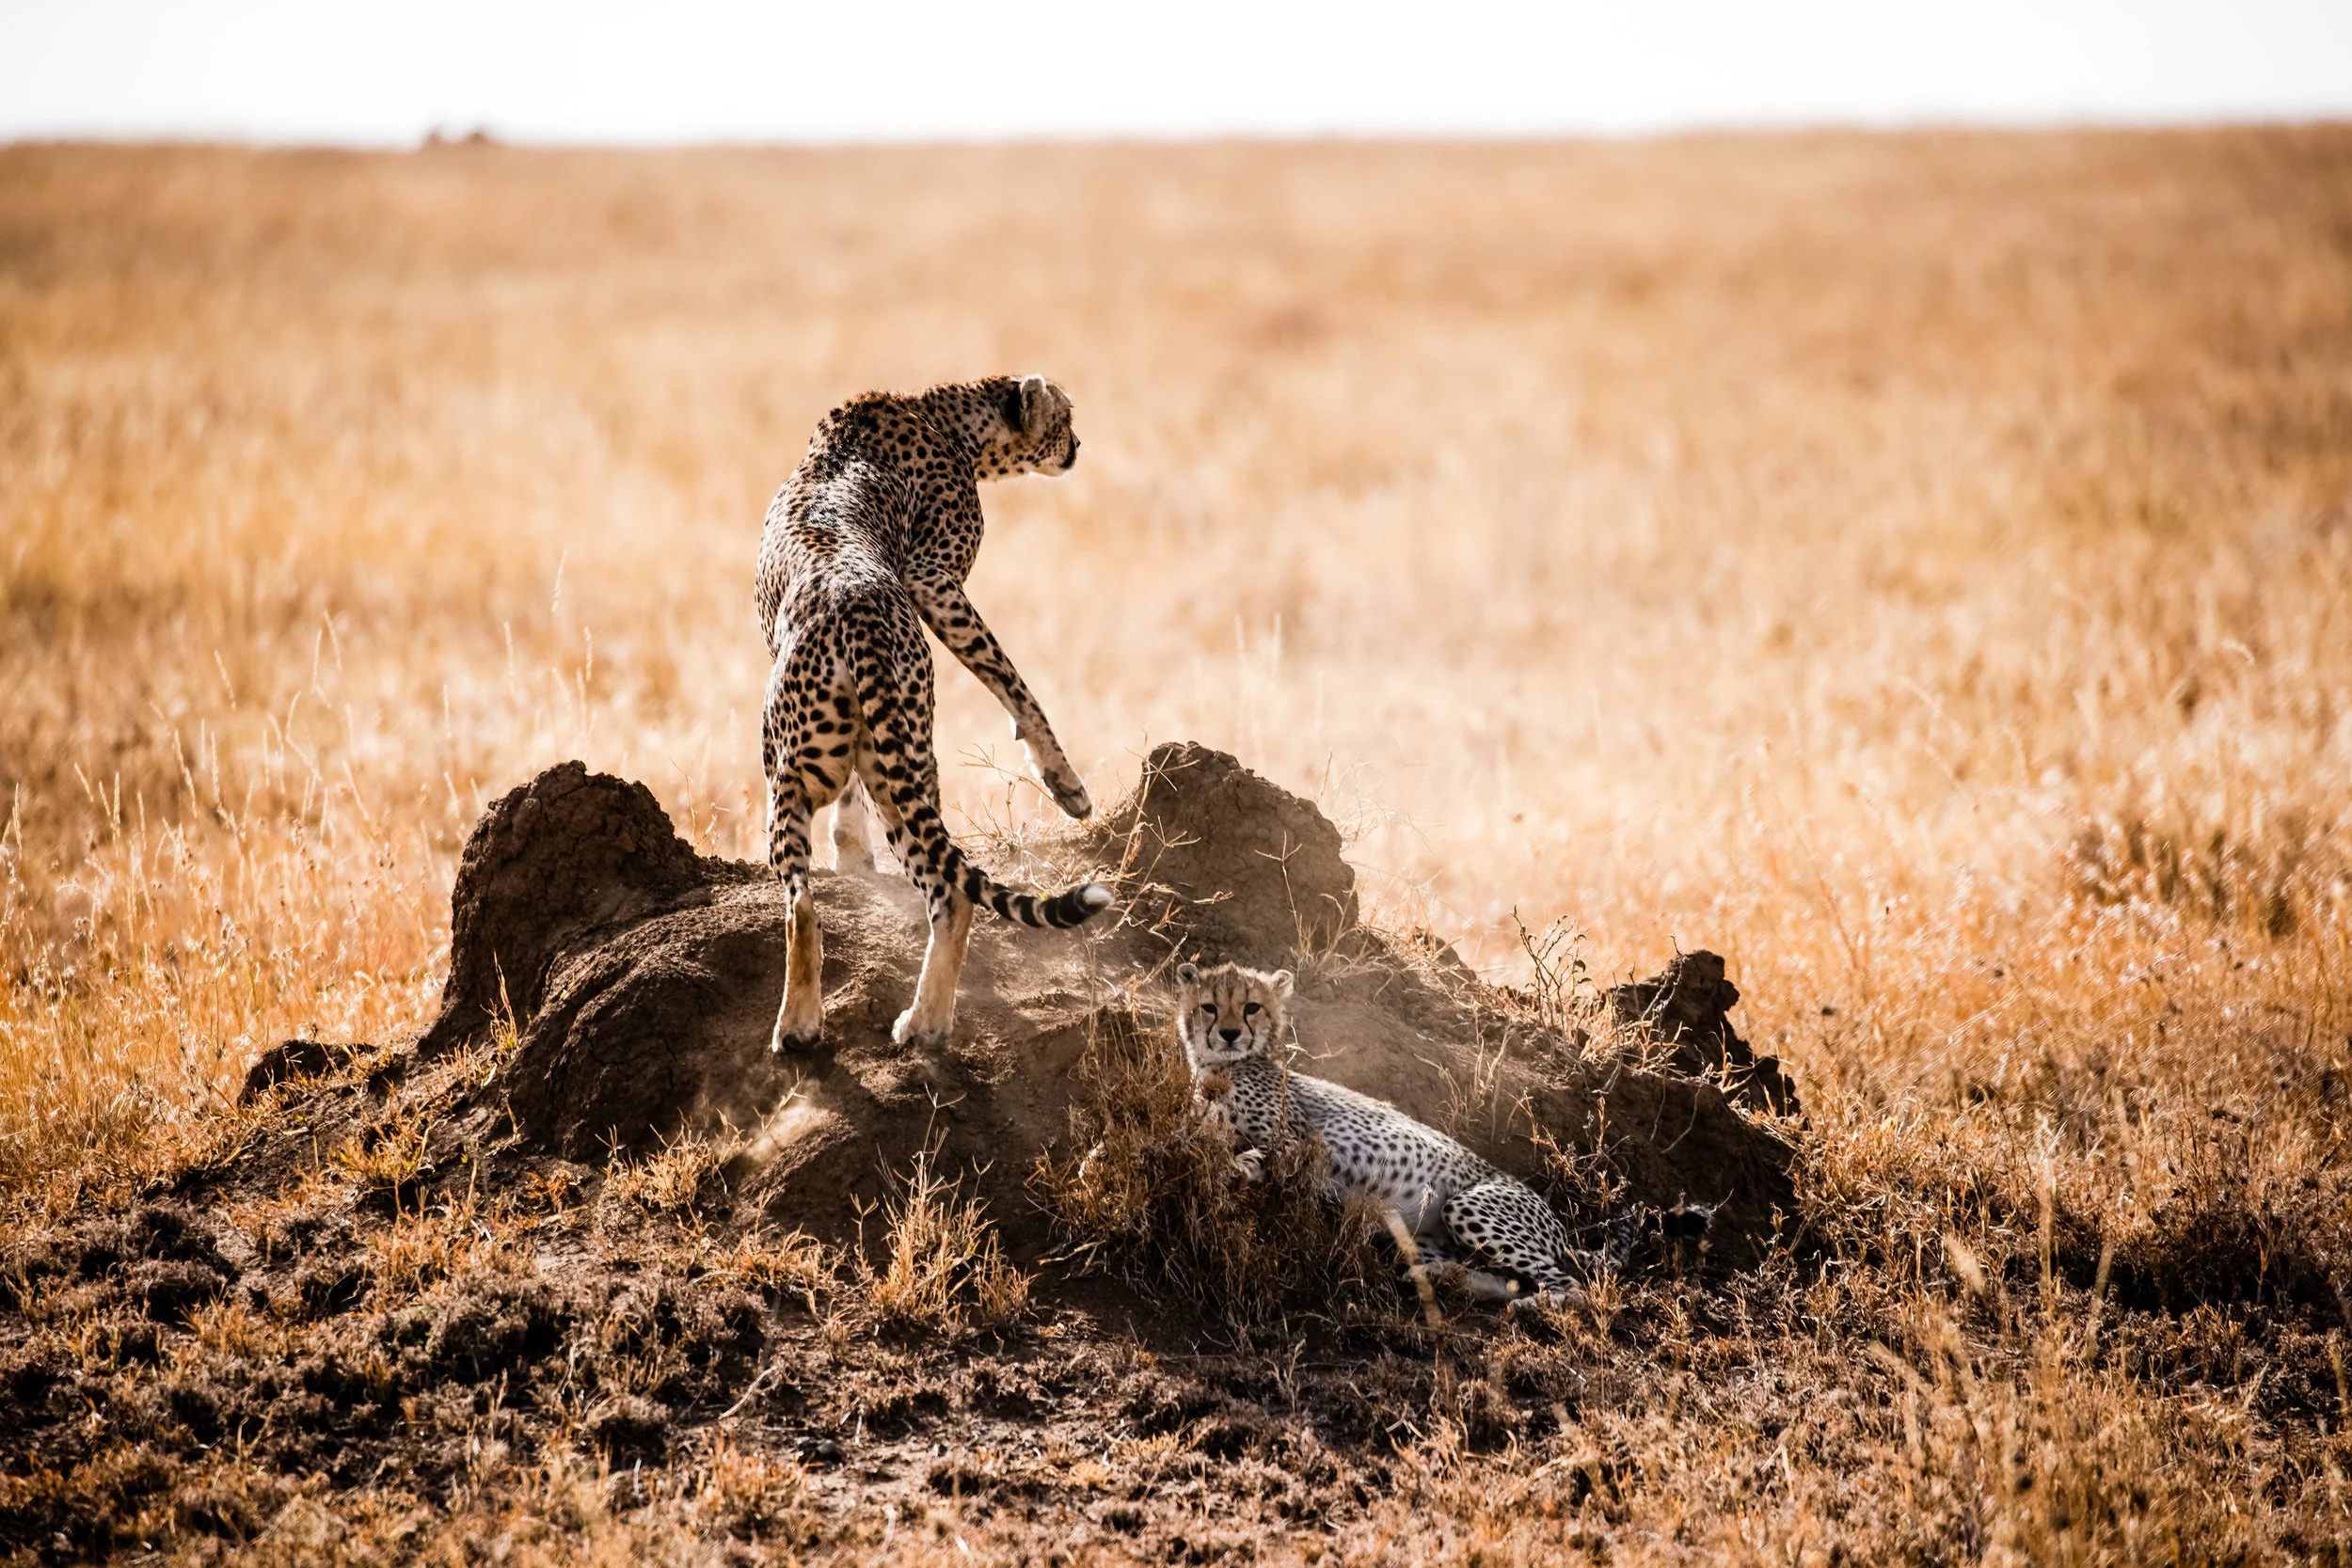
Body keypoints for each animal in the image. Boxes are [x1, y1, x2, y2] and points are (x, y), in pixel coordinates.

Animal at [755, 375, 1112, 1054]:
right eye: (1066, 416)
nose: (1078, 445)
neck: (945, 417)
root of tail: (855, 601)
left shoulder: (929, 579)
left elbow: (1011, 682)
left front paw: (1066, 784)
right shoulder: (932, 582)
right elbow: (1013, 682)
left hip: (808, 766)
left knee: (832, 901)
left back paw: (829, 1023)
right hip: (879, 761)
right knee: (928, 886)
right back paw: (907, 1022)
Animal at [1175, 960, 1630, 1307]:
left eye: (1251, 1007)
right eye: (1209, 1007)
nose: (1230, 1034)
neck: (1220, 1068)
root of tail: (1560, 1226)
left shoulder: (1295, 1143)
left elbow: (1250, 1155)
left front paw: (1231, 1169)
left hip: (1469, 1207)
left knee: (1572, 1287)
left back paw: (1534, 1305)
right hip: (1422, 1230)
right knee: (1510, 1280)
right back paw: (1441, 1277)